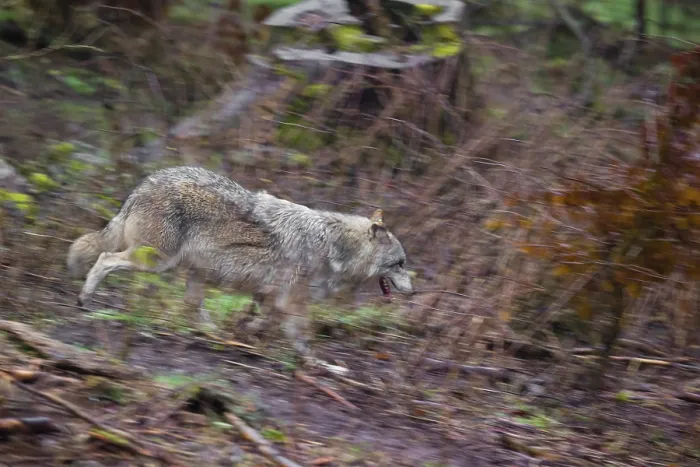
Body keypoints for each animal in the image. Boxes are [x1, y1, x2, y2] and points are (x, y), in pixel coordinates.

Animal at [67, 166, 414, 356]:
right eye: (400, 264)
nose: (413, 290)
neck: (335, 249)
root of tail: (145, 183)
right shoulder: (293, 301)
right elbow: (302, 335)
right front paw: (314, 362)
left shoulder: (272, 297)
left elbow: (262, 321)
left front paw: (246, 333)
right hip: (157, 261)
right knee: (104, 258)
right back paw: (84, 299)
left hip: (194, 270)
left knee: (194, 306)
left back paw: (216, 335)